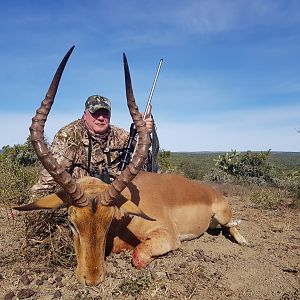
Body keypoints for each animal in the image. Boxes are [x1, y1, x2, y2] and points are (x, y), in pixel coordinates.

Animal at [14, 47, 248, 286]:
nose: (92, 279)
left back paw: (244, 241)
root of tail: (210, 191)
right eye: (71, 222)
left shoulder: (167, 235)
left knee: (230, 225)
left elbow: (138, 256)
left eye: (108, 221)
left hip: (221, 216)